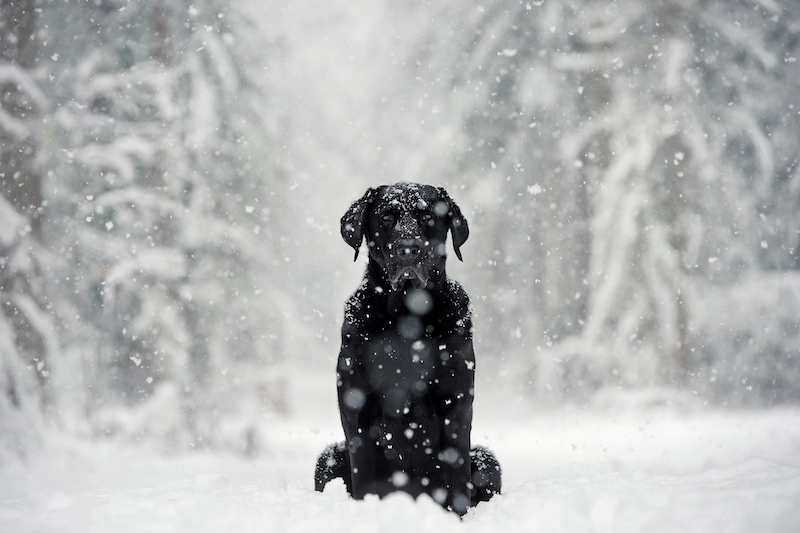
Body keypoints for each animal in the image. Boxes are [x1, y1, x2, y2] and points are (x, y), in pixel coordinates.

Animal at [312, 183, 500, 516]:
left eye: (428, 216)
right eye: (387, 217)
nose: (409, 249)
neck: (405, 318)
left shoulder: (456, 405)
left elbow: (456, 481)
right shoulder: (357, 410)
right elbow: (365, 481)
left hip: (488, 462)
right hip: (328, 459)